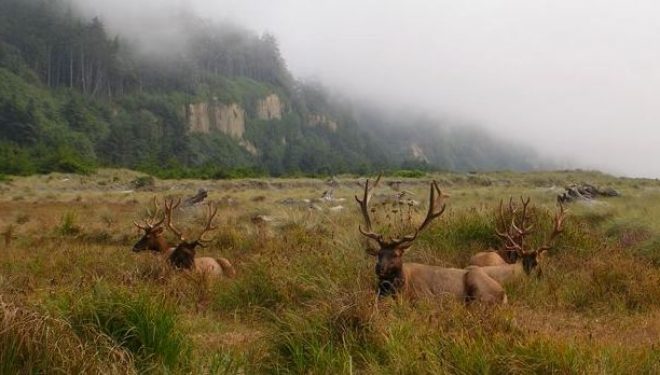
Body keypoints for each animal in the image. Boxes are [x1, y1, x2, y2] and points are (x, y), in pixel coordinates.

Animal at [356, 177, 506, 306]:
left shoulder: (426, 297)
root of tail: (503, 294)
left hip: (478, 286)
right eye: (379, 253)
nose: (379, 268)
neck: (402, 287)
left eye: (396, 254)